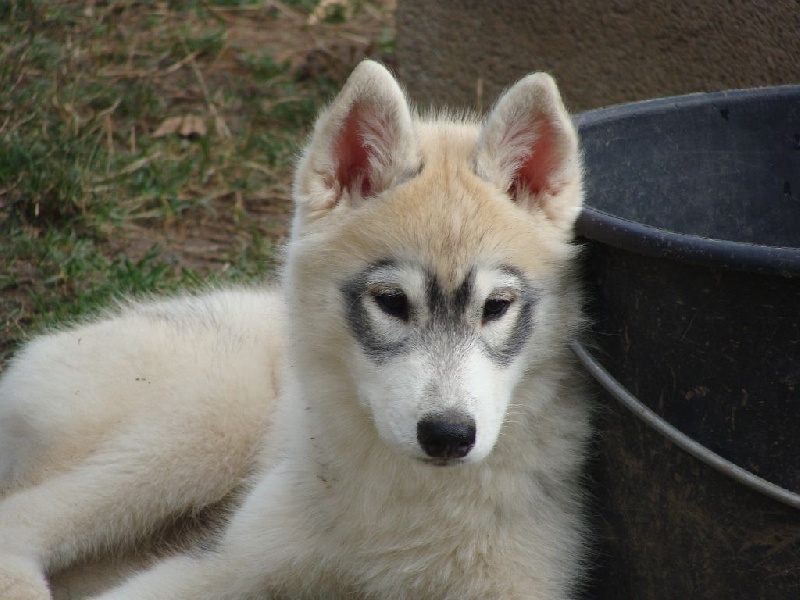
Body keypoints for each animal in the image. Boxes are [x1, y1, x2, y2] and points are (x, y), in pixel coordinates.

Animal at [0, 60, 590, 599]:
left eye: (497, 306)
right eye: (392, 302)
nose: (447, 435)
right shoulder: (221, 562)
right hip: (210, 418)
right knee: (20, 523)